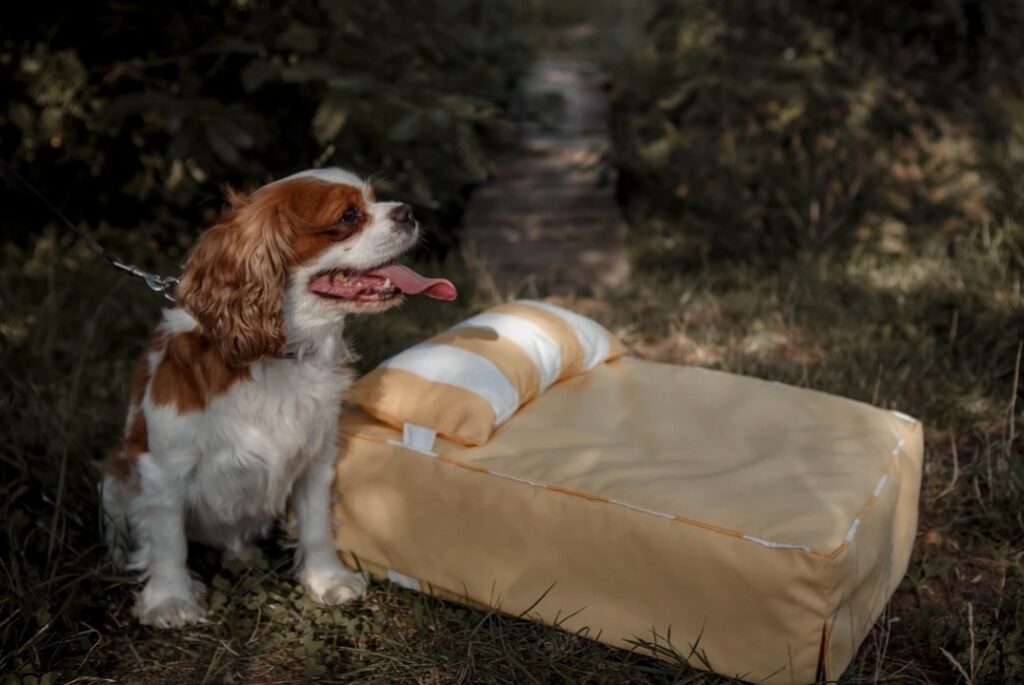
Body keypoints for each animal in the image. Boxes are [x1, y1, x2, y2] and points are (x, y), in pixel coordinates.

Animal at [101, 167, 456, 628]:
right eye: (348, 216)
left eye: (374, 198)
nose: (407, 211)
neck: (279, 356)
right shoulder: (162, 468)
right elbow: (167, 540)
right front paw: (170, 600)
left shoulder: (317, 456)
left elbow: (316, 522)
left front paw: (327, 579)